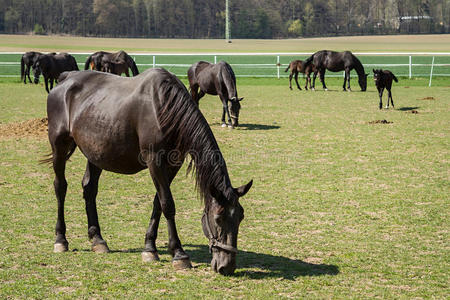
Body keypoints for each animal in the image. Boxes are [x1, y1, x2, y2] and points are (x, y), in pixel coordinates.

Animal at [44, 68, 253, 276]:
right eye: (218, 218)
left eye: (240, 216)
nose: (227, 266)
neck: (165, 108)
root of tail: (66, 79)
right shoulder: (155, 162)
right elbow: (168, 204)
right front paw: (179, 253)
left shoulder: (173, 165)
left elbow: (158, 204)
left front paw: (150, 248)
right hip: (59, 147)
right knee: (60, 187)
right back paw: (61, 239)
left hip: (95, 153)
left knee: (89, 189)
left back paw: (98, 239)